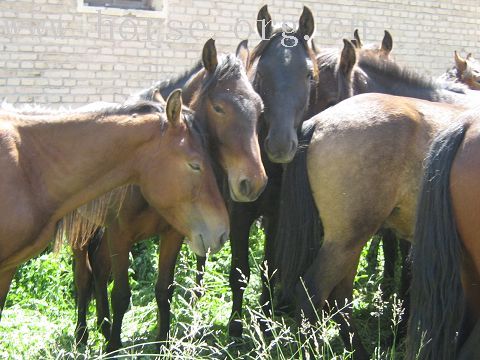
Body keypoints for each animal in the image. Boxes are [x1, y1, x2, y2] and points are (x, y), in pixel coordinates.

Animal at [72, 38, 266, 352]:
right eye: (219, 107)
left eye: (259, 108)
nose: (255, 182)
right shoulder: (120, 235)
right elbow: (121, 295)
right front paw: (114, 347)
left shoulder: (172, 235)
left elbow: (164, 290)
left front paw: (161, 343)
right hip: (82, 231)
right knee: (83, 276)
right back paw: (82, 334)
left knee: (99, 270)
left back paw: (103, 325)